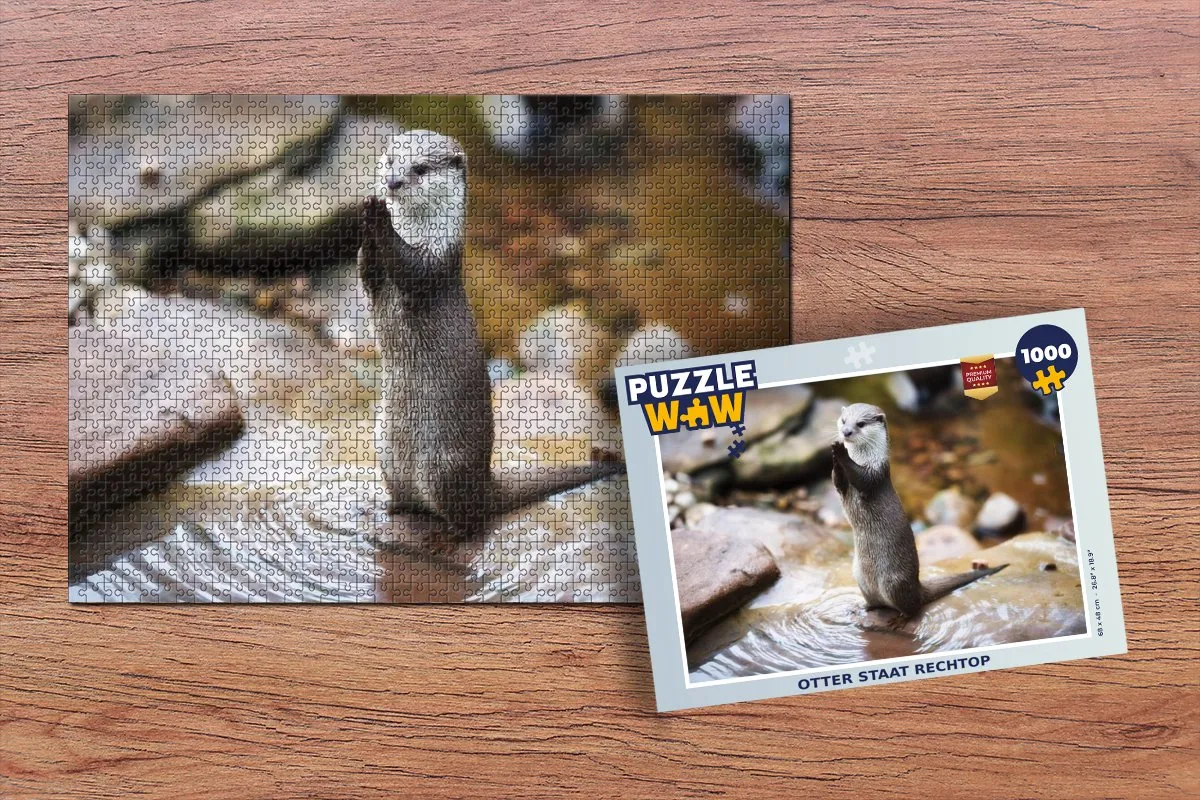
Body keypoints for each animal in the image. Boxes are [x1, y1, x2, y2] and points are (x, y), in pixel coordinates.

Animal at [359, 130, 622, 535]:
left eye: (419, 168)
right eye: (389, 160)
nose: (392, 183)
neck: (422, 233)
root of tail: (485, 481)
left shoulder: (436, 262)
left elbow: (412, 268)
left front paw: (379, 219)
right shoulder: (375, 283)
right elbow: (366, 271)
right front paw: (367, 221)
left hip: (443, 466)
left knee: (470, 516)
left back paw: (454, 529)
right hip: (385, 448)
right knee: (411, 496)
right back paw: (395, 507)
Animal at [831, 402, 1005, 622]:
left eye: (860, 424)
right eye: (844, 420)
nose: (846, 432)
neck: (864, 458)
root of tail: (917, 586)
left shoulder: (876, 474)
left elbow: (862, 478)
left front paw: (841, 452)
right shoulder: (843, 487)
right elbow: (838, 482)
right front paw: (835, 456)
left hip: (893, 582)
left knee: (913, 607)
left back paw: (901, 618)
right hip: (860, 577)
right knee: (877, 601)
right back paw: (864, 607)